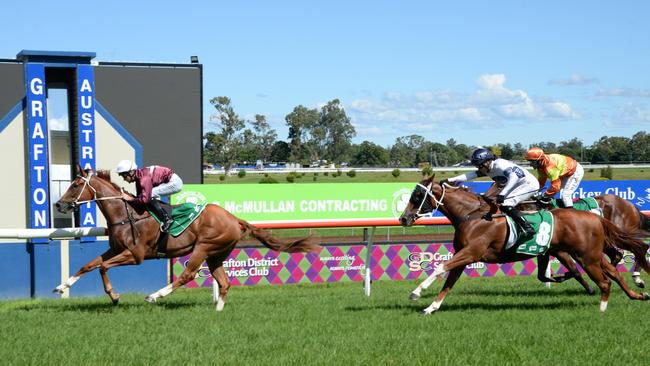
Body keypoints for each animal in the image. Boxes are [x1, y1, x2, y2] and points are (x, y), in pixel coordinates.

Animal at [53, 167, 318, 310]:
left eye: (75, 185)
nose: (59, 204)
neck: (126, 214)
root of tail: (235, 219)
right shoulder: (116, 250)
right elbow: (89, 265)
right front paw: (61, 286)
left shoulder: (135, 255)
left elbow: (103, 268)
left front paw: (115, 296)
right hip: (217, 254)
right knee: (224, 282)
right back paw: (218, 310)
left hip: (203, 247)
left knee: (188, 275)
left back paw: (154, 295)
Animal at [394, 177, 648, 314]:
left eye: (417, 196)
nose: (403, 219)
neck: (473, 215)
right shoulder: (464, 255)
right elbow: (448, 281)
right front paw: (431, 307)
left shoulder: (471, 252)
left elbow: (439, 268)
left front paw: (416, 292)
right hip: (592, 254)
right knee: (614, 269)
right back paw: (637, 294)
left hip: (588, 255)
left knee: (611, 271)